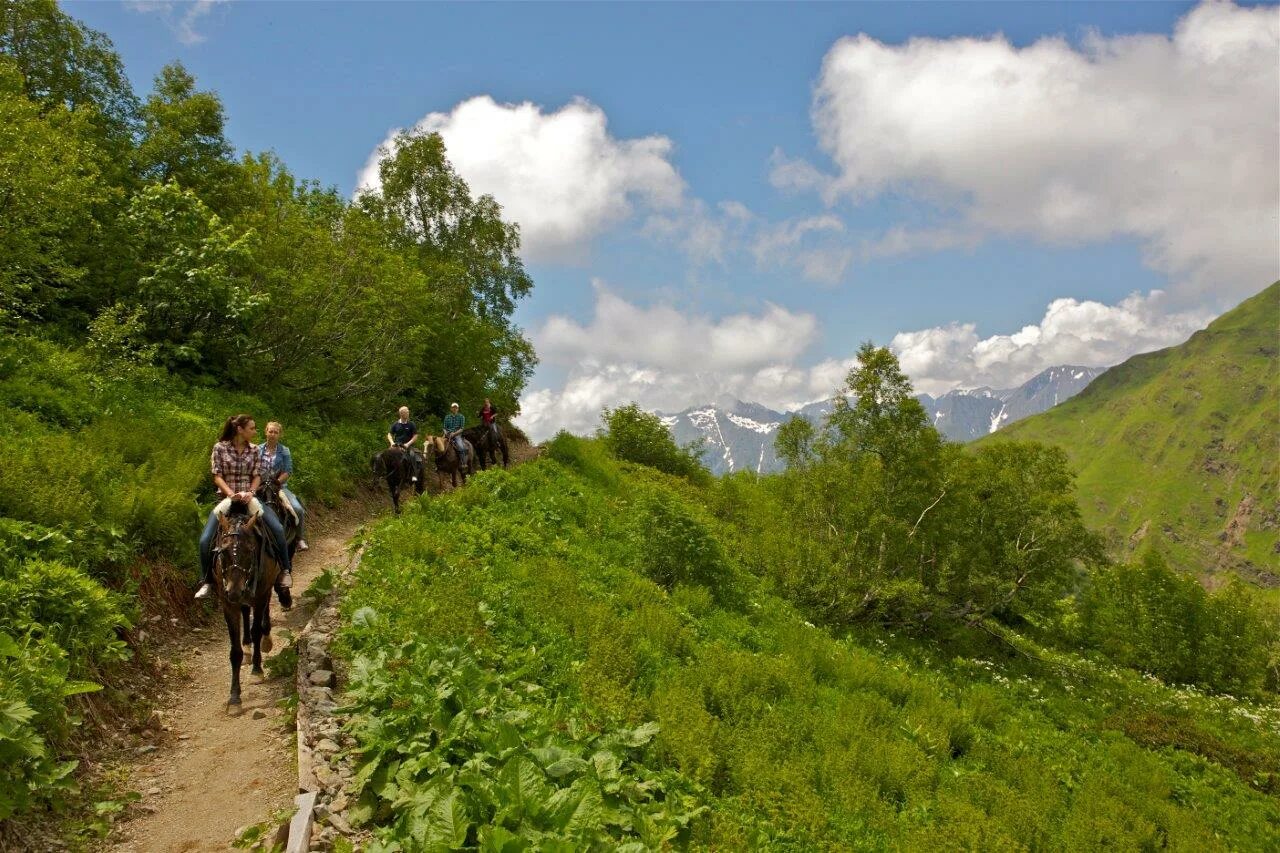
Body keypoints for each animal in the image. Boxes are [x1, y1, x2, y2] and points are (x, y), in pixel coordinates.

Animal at [212, 502, 280, 701]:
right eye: (222, 552)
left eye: (250, 551)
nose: (234, 591)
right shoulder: (228, 604)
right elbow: (235, 651)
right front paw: (234, 696)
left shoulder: (259, 596)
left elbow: (256, 630)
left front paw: (257, 670)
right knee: (245, 610)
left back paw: (265, 640)